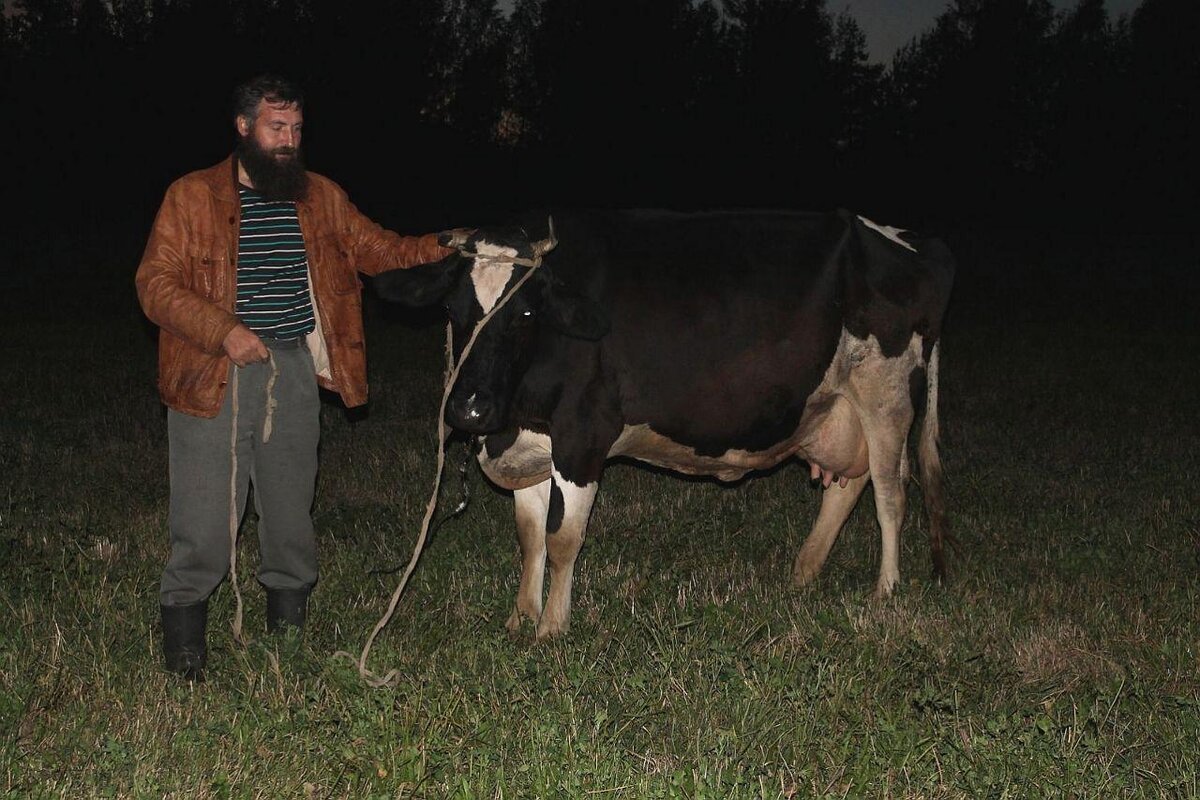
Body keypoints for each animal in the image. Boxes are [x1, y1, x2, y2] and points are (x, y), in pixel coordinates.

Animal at [374, 209, 955, 642]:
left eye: (525, 315)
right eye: (453, 308)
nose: (468, 409)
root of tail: (911, 243)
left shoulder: (583, 435)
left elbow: (563, 537)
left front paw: (551, 628)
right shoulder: (532, 443)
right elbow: (530, 535)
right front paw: (521, 615)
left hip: (886, 394)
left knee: (891, 492)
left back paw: (885, 591)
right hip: (837, 406)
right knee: (849, 486)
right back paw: (804, 573)